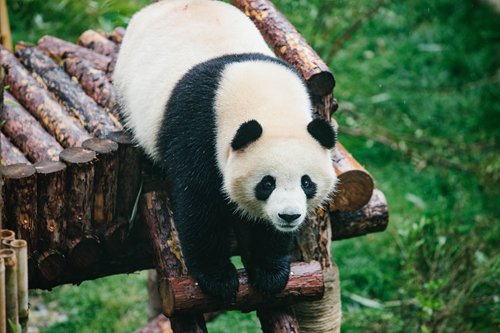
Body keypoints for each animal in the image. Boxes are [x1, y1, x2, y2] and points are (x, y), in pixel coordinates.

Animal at [115, 0, 338, 298]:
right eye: (267, 183)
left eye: (307, 182)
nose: (289, 216)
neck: (269, 103)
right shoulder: (199, 129)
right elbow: (199, 203)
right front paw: (217, 278)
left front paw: (270, 270)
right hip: (128, 93)